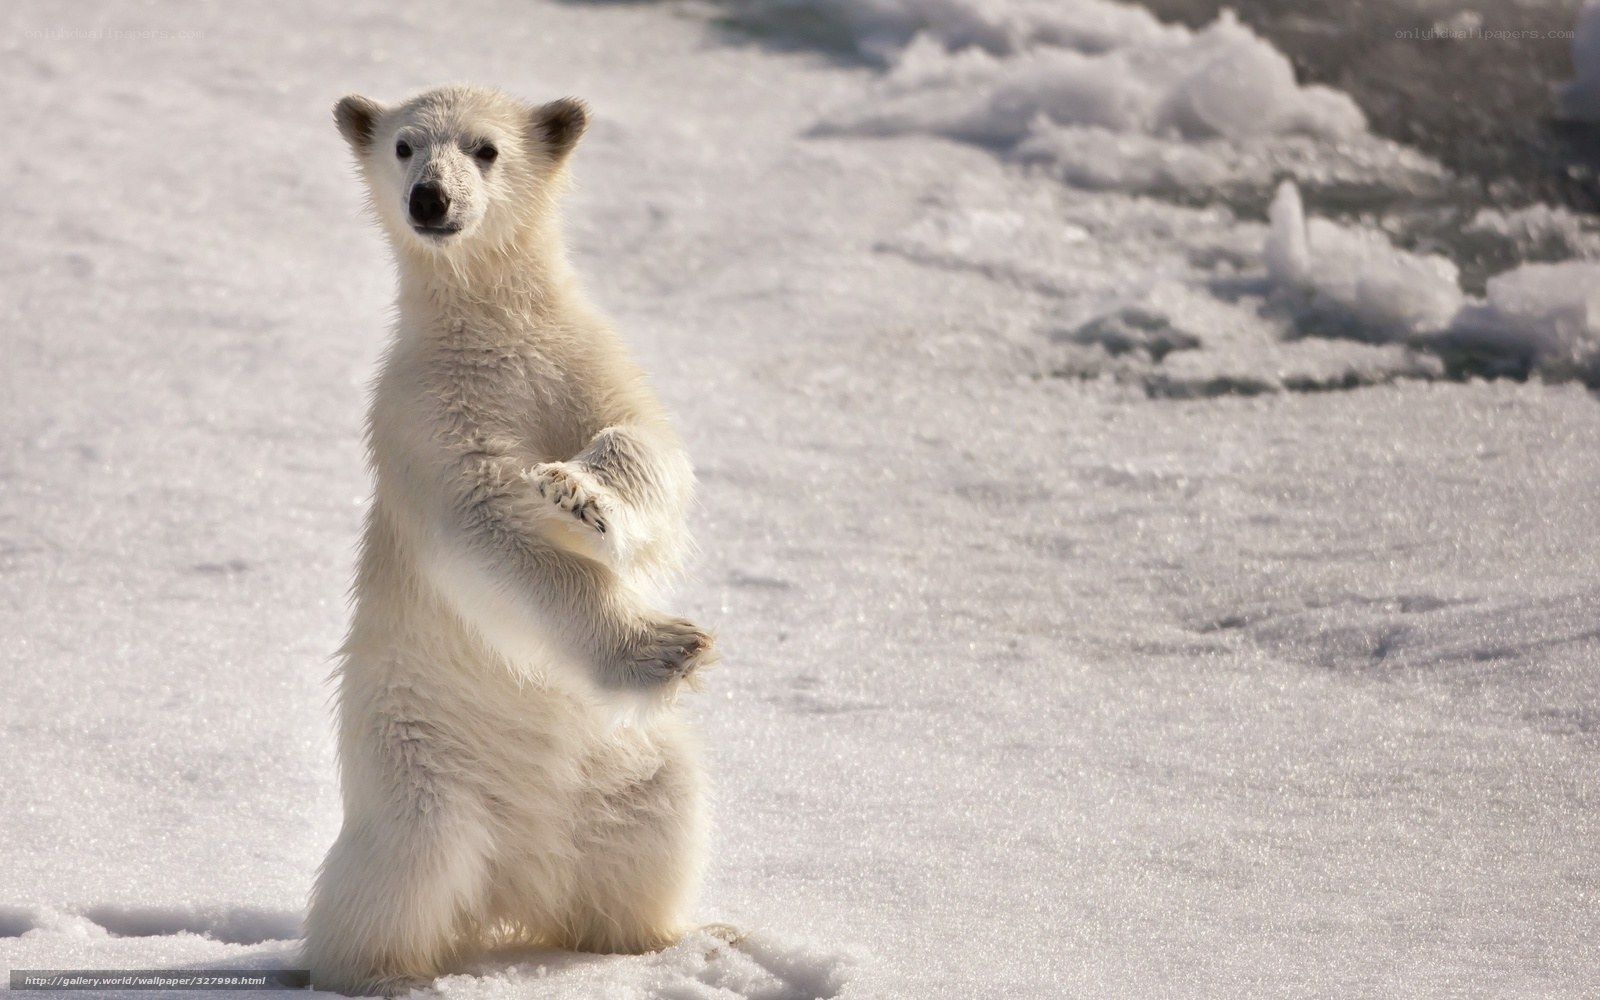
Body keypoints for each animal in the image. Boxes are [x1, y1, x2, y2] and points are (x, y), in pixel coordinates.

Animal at [300, 84, 718, 996]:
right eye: (404, 146)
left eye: (486, 149)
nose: (431, 199)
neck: (491, 327)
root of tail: (517, 885)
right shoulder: (426, 412)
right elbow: (487, 526)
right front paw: (665, 646)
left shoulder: (581, 359)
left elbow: (648, 447)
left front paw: (581, 495)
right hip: (417, 759)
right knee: (401, 875)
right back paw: (374, 971)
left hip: (631, 768)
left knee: (653, 836)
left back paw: (662, 944)